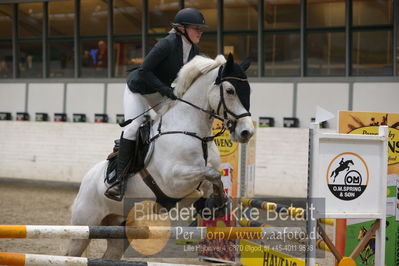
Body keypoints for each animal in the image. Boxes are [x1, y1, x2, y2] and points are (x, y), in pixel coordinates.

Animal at [65, 53, 253, 258]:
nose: (247, 132)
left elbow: (213, 178)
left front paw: (215, 205)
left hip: (119, 230)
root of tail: (86, 179)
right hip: (83, 229)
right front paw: (216, 203)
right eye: (230, 91)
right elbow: (212, 174)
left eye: (249, 91)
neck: (196, 134)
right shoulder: (174, 180)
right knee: (71, 253)